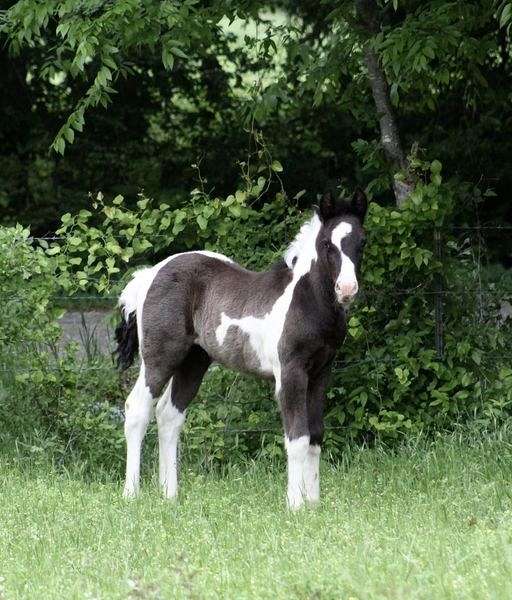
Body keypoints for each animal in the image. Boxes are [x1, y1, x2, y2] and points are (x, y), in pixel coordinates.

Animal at [114, 190, 366, 508]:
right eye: (326, 244)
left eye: (362, 241)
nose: (347, 289)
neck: (305, 300)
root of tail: (150, 274)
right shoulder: (291, 374)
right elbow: (297, 437)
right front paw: (295, 505)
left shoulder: (321, 373)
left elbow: (315, 437)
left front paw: (314, 504)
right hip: (159, 357)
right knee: (137, 409)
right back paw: (131, 494)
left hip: (194, 360)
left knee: (169, 415)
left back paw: (170, 496)